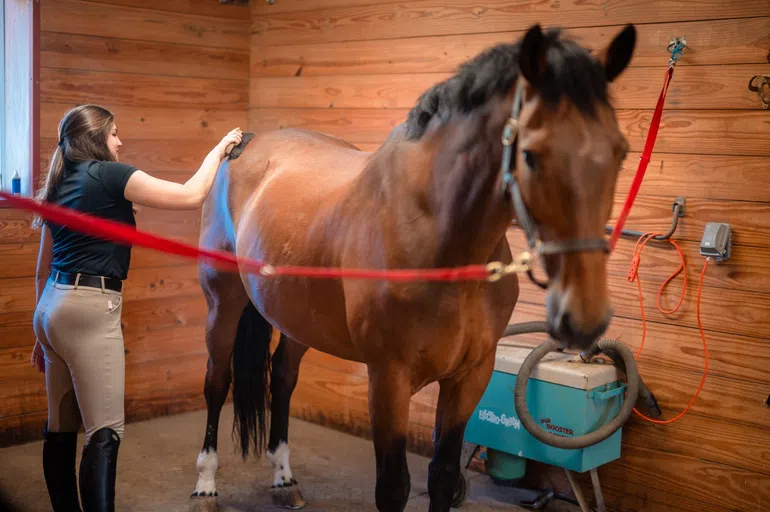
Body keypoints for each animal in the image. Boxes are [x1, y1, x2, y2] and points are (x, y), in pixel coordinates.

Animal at [189, 23, 632, 512]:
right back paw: (205, 484)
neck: (442, 246)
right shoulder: (388, 380)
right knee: (217, 380)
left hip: (295, 317)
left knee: (283, 380)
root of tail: (243, 144)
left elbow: (442, 476)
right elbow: (394, 486)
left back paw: (284, 479)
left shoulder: (470, 377)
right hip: (222, 303)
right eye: (531, 155)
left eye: (621, 151)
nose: (585, 317)